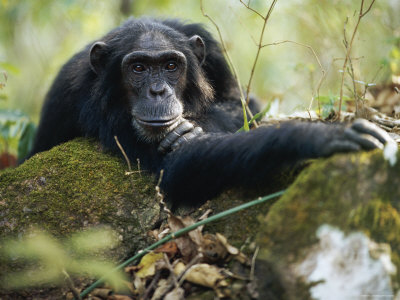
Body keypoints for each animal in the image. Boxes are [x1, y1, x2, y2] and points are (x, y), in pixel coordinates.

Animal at [28, 17, 394, 207]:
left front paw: (194, 126)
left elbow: (241, 103)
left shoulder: (210, 48)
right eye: (138, 68)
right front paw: (317, 136)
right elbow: (175, 170)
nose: (158, 91)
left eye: (170, 65)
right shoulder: (95, 106)